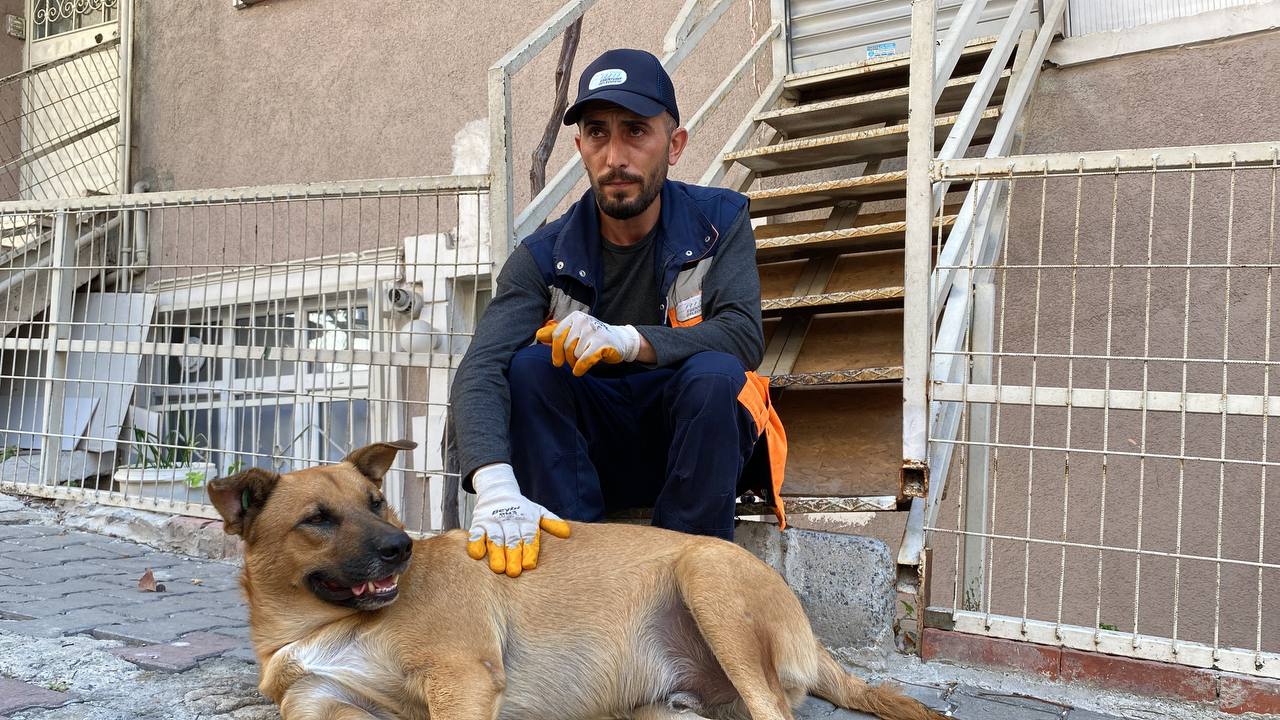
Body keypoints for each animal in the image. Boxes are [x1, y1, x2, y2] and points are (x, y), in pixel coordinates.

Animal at [209, 438, 947, 717]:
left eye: (376, 503)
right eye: (317, 519)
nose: (400, 549)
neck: (321, 624)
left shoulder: (462, 677)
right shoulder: (316, 702)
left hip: (707, 577)